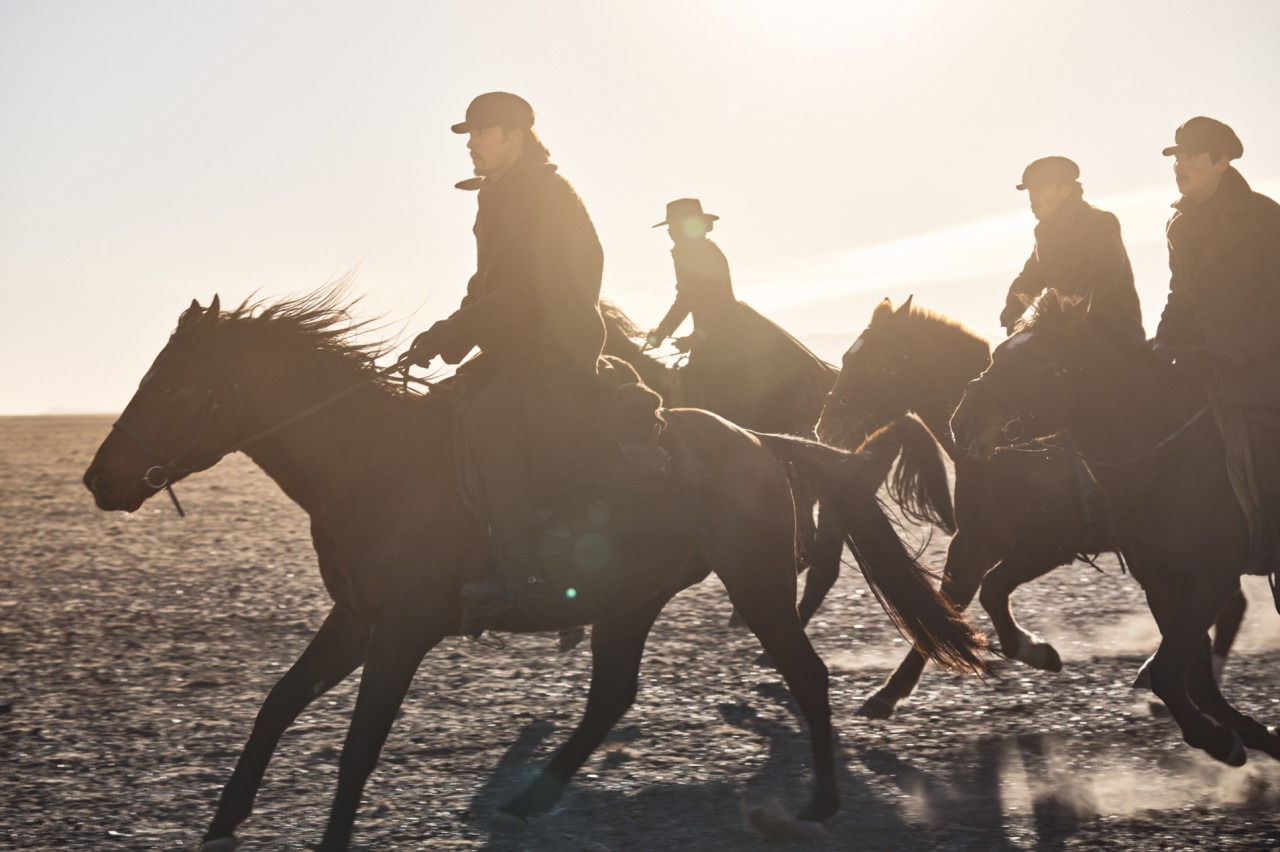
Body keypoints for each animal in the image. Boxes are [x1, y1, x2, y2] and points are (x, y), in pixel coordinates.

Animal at [80, 291, 983, 849]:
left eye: (173, 386)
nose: (98, 479)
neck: (373, 464)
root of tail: (760, 441)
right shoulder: (357, 620)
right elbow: (275, 707)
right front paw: (222, 820)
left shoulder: (400, 632)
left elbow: (358, 746)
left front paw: (330, 837)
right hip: (630, 599)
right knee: (612, 694)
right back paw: (529, 799)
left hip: (755, 584)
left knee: (806, 673)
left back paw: (823, 800)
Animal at [814, 295, 1244, 711]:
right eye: (848, 358)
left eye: (875, 363)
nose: (826, 426)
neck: (1007, 455)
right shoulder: (974, 544)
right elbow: (946, 606)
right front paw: (889, 692)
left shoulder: (1049, 546)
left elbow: (991, 590)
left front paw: (1036, 651)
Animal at [952, 290, 1280, 762]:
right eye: (999, 354)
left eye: (1042, 358)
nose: (964, 422)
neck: (1167, 460)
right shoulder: (1163, 584)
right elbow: (1188, 675)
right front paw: (1248, 737)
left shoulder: (1208, 579)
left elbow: (1170, 671)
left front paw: (1219, 739)